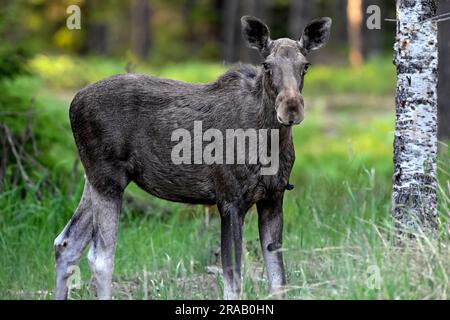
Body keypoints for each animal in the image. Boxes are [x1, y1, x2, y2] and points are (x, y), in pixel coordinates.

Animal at [54, 15, 332, 300]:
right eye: (266, 65)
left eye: (305, 65)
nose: (291, 108)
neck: (269, 143)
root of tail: (73, 104)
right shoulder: (229, 200)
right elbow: (233, 281)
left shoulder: (273, 198)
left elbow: (278, 281)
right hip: (108, 179)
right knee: (99, 257)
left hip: (95, 180)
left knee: (66, 243)